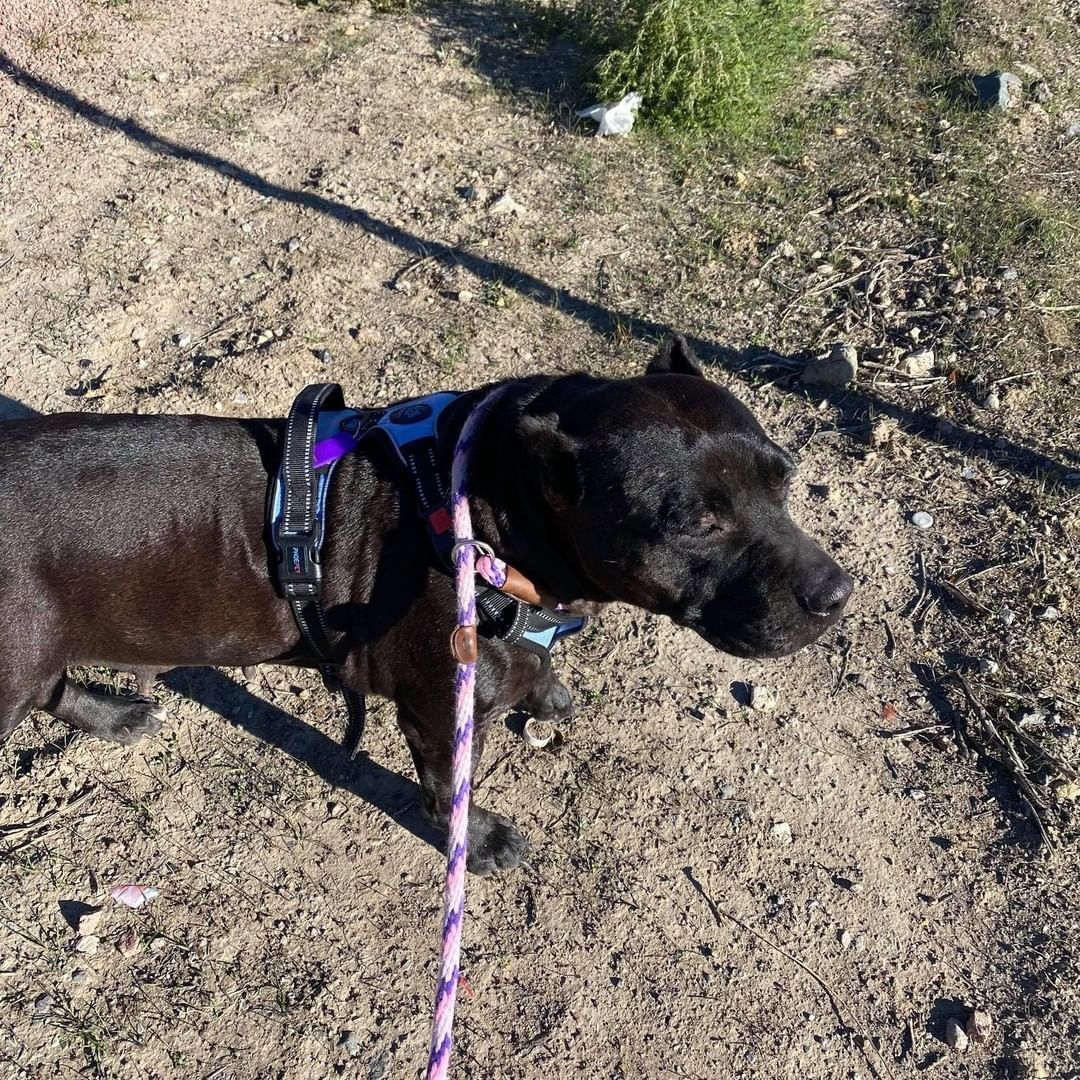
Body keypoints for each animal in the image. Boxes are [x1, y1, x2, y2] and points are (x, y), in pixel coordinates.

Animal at [0, 341, 851, 872]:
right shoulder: (437, 709)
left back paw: (112, 715)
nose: (837, 594)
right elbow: (448, 787)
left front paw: (545, 688)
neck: (483, 508)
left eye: (784, 475)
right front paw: (481, 839)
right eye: (697, 522)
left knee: (53, 685)